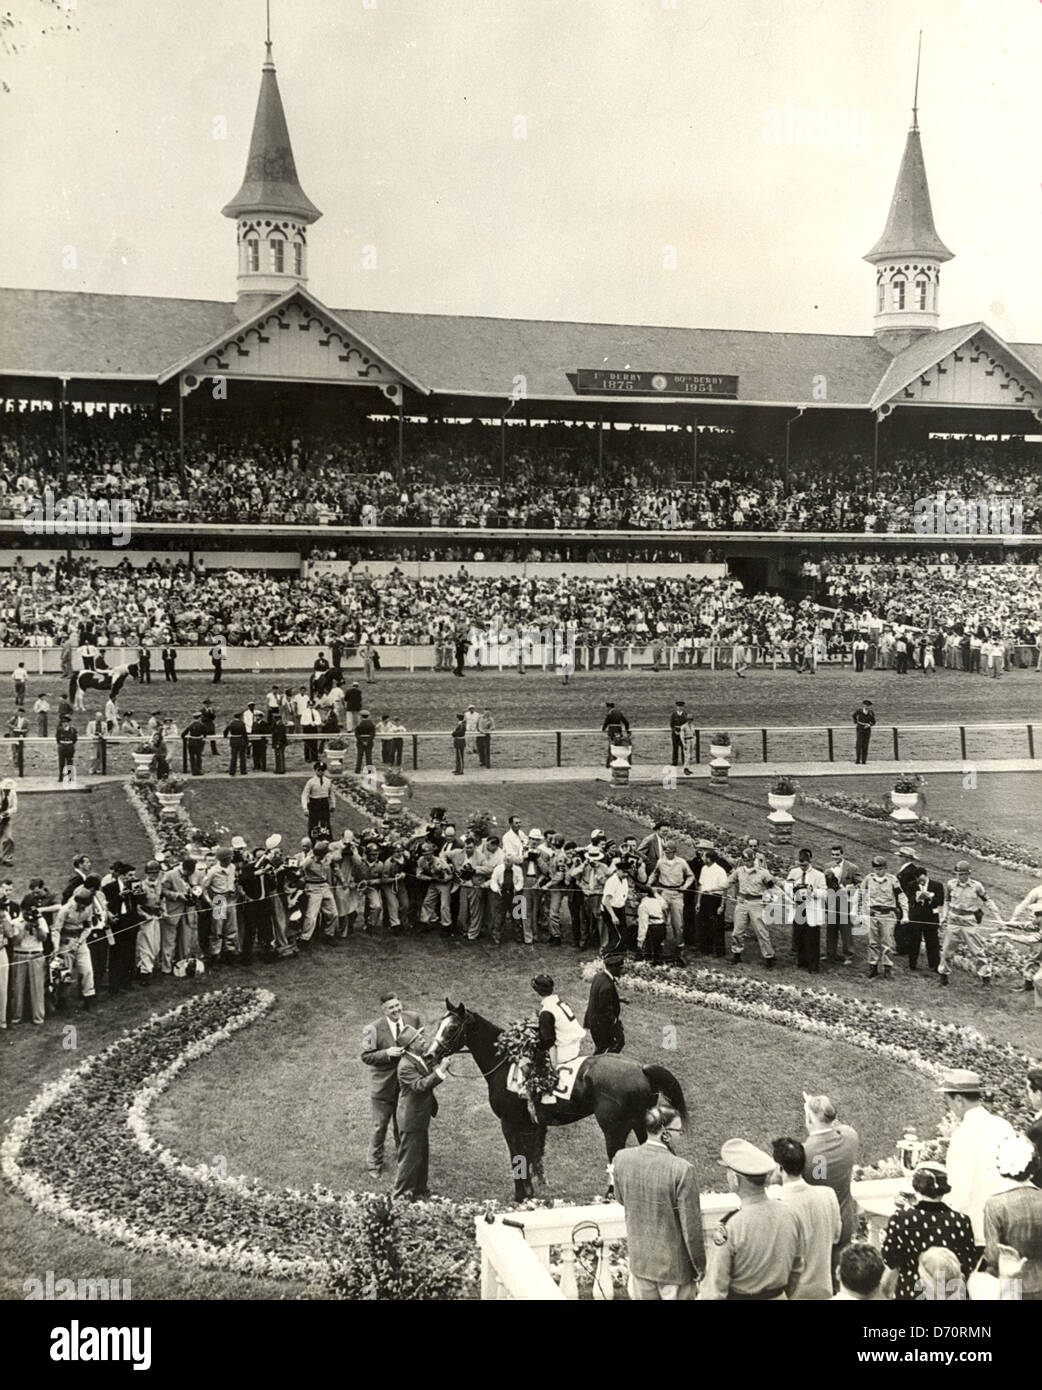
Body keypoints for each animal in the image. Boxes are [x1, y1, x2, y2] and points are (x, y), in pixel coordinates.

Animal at [427, 1000, 689, 1206]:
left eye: (451, 1028)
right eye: (438, 1024)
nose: (429, 1055)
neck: (505, 1062)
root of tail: (641, 1068)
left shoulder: (509, 1123)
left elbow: (517, 1156)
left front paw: (520, 1196)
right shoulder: (530, 1123)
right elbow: (530, 1155)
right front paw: (532, 1191)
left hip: (614, 1129)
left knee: (615, 1158)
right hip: (641, 1123)